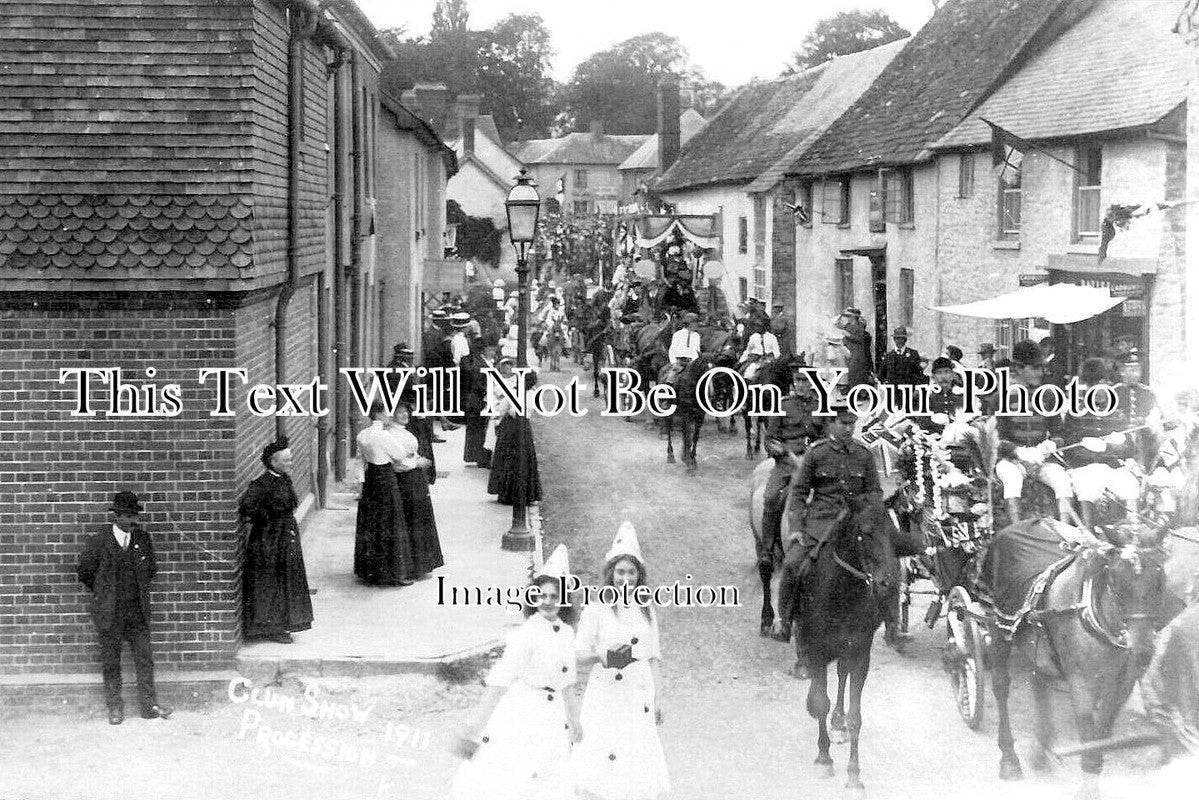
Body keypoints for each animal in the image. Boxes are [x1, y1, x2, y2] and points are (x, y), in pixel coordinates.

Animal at [983, 522, 1170, 791]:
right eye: (1115, 580)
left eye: (1159, 578)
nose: (1143, 649)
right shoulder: (1081, 685)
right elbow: (1089, 739)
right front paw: (1087, 790)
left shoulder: (1122, 686)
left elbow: (1102, 737)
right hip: (1000, 628)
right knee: (1000, 686)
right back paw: (1009, 758)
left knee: (1038, 680)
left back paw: (1041, 752)